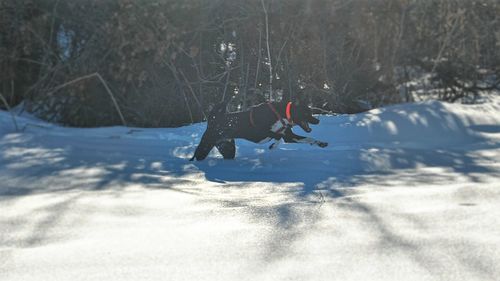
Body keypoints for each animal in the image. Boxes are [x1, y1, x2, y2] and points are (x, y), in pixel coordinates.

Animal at [189, 100, 326, 161]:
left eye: (311, 112)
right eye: (306, 113)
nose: (317, 121)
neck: (281, 114)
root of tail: (213, 120)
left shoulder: (288, 136)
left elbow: (308, 138)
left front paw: (321, 143)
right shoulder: (259, 133)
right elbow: (277, 137)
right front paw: (273, 146)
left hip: (228, 148)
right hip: (205, 146)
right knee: (196, 156)